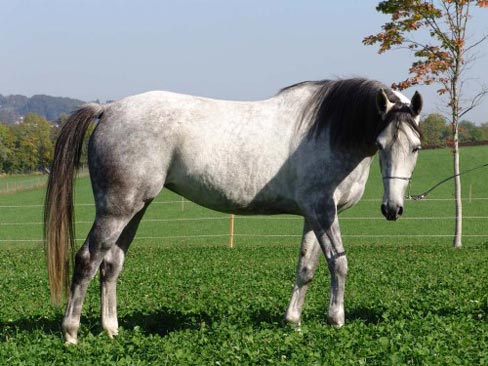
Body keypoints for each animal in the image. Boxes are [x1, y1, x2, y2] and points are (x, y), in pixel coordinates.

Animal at [43, 77, 424, 344]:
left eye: (416, 147)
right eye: (381, 143)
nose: (392, 208)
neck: (327, 130)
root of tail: (108, 110)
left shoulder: (314, 215)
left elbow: (306, 268)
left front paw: (294, 323)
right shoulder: (322, 211)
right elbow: (339, 264)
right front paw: (336, 320)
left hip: (135, 209)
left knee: (111, 264)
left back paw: (111, 330)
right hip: (116, 209)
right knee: (87, 260)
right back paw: (71, 333)